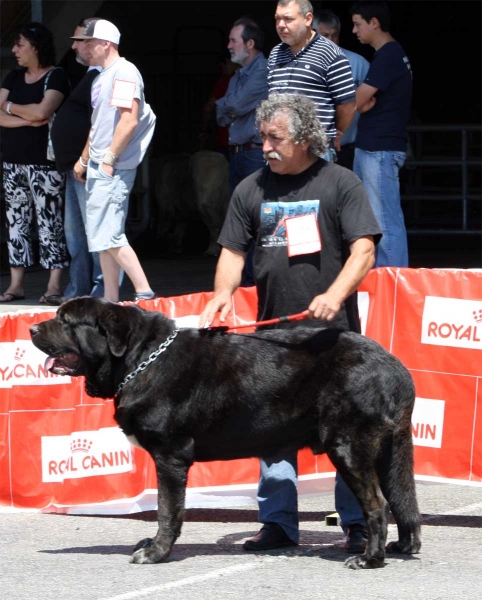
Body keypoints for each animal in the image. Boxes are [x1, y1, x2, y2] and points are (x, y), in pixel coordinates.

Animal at [31, 298, 422, 568]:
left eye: (65, 321)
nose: (32, 329)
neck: (140, 360)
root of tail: (395, 368)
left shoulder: (170, 456)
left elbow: (167, 511)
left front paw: (156, 552)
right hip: (391, 448)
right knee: (403, 497)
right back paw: (404, 546)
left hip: (349, 447)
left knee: (377, 505)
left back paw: (370, 559)